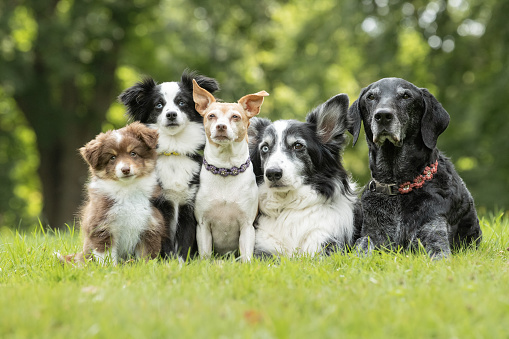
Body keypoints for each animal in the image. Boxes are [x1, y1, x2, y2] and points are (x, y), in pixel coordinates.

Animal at [57, 123, 165, 266]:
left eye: (133, 153)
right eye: (112, 157)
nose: (125, 169)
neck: (127, 190)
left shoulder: (150, 227)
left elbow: (147, 256)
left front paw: (147, 267)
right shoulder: (101, 227)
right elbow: (106, 256)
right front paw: (109, 268)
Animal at [118, 69, 219, 260]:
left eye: (181, 102)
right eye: (159, 105)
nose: (171, 114)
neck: (173, 151)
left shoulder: (189, 206)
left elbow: (185, 241)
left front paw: (180, 262)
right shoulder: (159, 206)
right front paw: (167, 261)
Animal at [191, 79, 270, 262]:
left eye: (235, 117)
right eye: (211, 116)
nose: (221, 126)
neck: (225, 170)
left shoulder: (247, 226)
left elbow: (246, 256)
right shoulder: (203, 226)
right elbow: (205, 255)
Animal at [247, 94, 360, 256]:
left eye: (298, 146)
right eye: (265, 148)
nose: (272, 173)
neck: (289, 207)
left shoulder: (323, 246)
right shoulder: (263, 251)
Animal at [348, 77, 482, 260]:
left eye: (406, 96)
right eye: (371, 97)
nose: (383, 116)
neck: (398, 186)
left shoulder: (433, 231)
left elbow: (438, 252)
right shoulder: (372, 234)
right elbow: (361, 246)